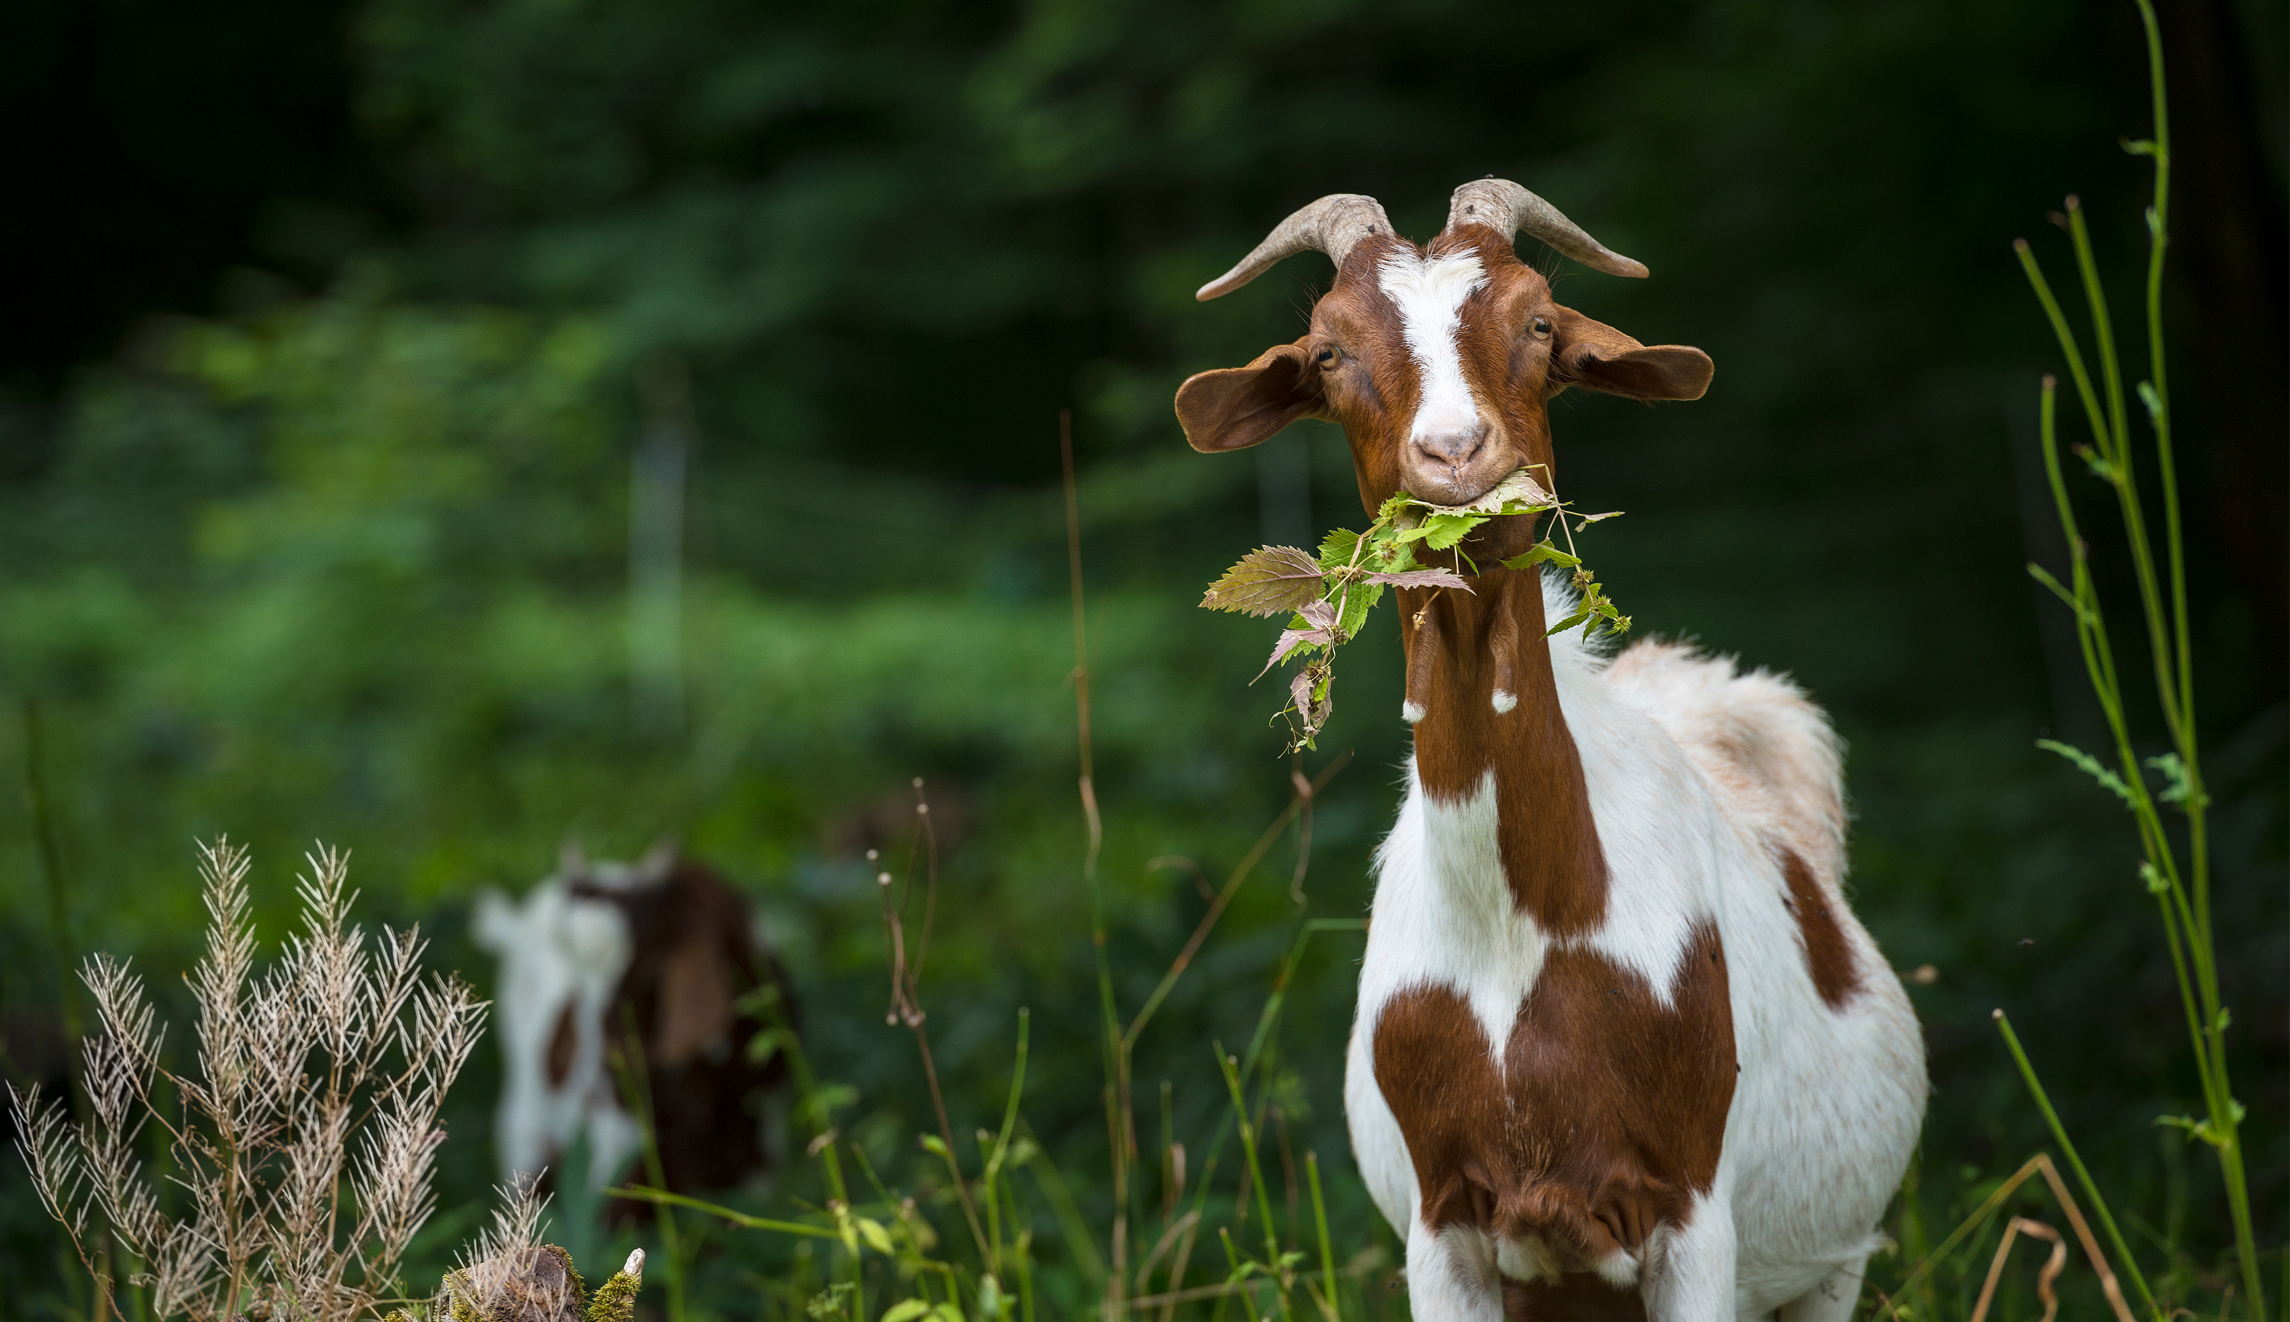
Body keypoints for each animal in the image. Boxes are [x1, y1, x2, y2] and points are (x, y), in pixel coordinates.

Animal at [474, 841, 794, 1219]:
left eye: (653, 966)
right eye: (579, 980)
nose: (602, 1073)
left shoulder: (759, 1155)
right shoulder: (618, 1152)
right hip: (526, 1117)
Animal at [1175, 182, 1926, 1321]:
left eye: (1537, 323)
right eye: (1329, 350)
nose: (1454, 453)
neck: (1525, 929)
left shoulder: (1693, 1215)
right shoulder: (1444, 1226)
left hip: (1830, 1264)